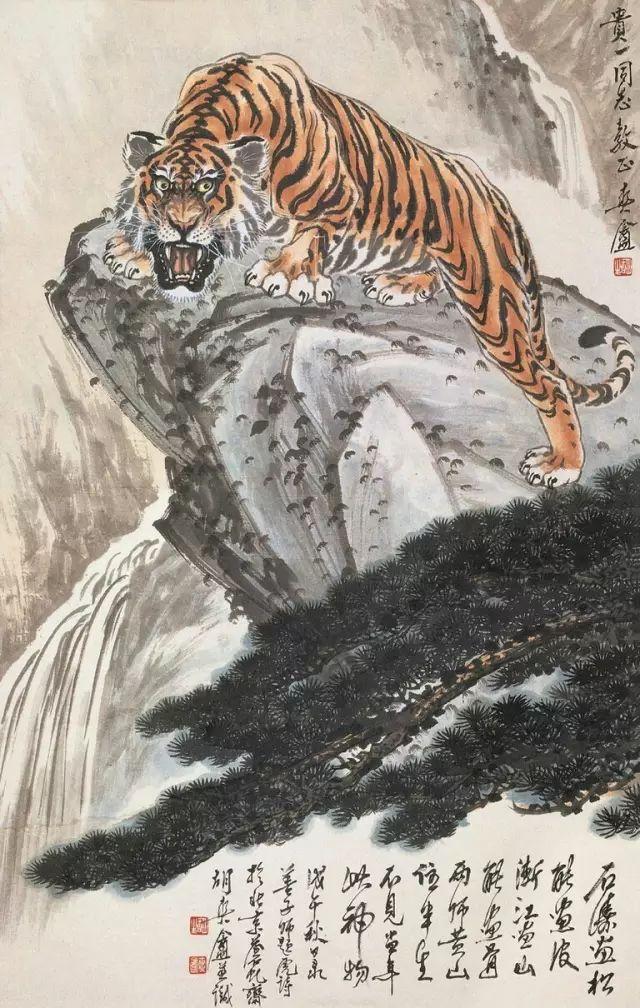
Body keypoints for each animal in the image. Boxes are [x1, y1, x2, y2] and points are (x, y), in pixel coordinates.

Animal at [104, 51, 635, 489]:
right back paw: (399, 283)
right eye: (161, 187)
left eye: (208, 187)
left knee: (550, 386)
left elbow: (310, 232)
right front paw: (131, 250)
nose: (181, 226)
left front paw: (287, 273)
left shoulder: (338, 196)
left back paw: (561, 465)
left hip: (491, 303)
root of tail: (493, 193)